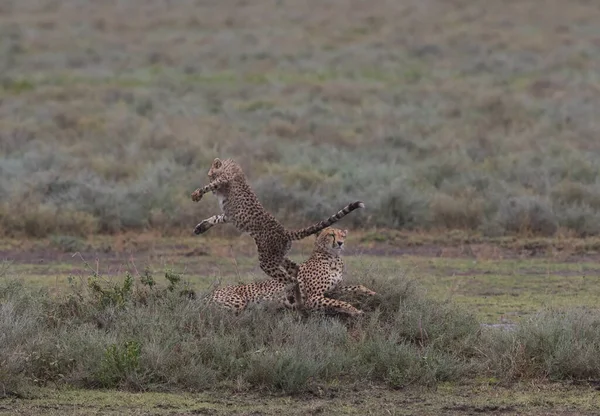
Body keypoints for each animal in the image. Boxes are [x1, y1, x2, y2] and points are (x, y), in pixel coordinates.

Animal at [190, 158, 364, 288]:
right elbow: (216, 217)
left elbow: (210, 187)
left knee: (290, 279)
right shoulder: (229, 216)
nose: (209, 175)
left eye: (210, 175)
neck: (228, 163)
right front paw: (201, 227)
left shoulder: (225, 179)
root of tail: (285, 231)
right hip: (279, 256)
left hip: (267, 260)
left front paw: (197, 194)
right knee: (296, 269)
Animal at [212, 228, 376, 316]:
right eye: (331, 235)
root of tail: (210, 293)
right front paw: (355, 310)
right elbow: (339, 302)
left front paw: (372, 293)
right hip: (237, 303)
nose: (341, 243)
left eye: (343, 235)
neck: (333, 258)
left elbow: (357, 286)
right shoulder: (313, 298)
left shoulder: (335, 288)